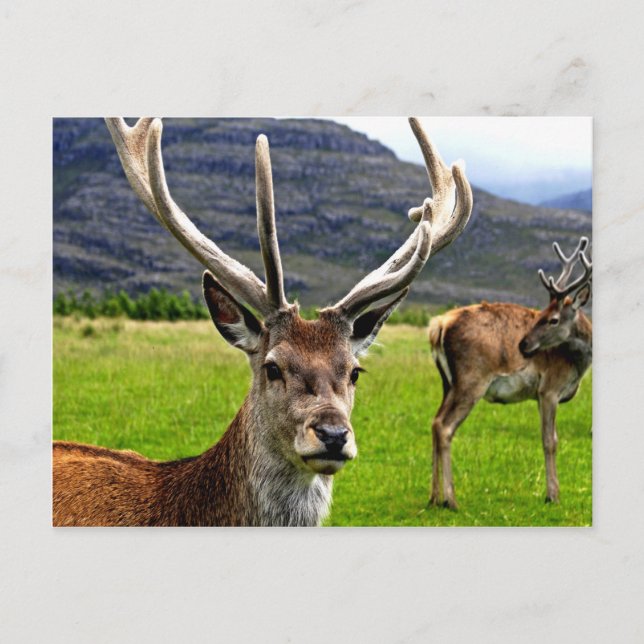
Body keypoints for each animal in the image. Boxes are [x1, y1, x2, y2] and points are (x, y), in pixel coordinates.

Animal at [427, 237, 592, 510]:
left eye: (553, 318)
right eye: (542, 314)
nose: (523, 345)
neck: (577, 365)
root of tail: (438, 326)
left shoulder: (539, 395)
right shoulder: (549, 389)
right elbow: (550, 440)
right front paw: (552, 495)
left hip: (446, 382)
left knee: (434, 421)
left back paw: (433, 497)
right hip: (471, 379)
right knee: (444, 426)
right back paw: (451, 499)